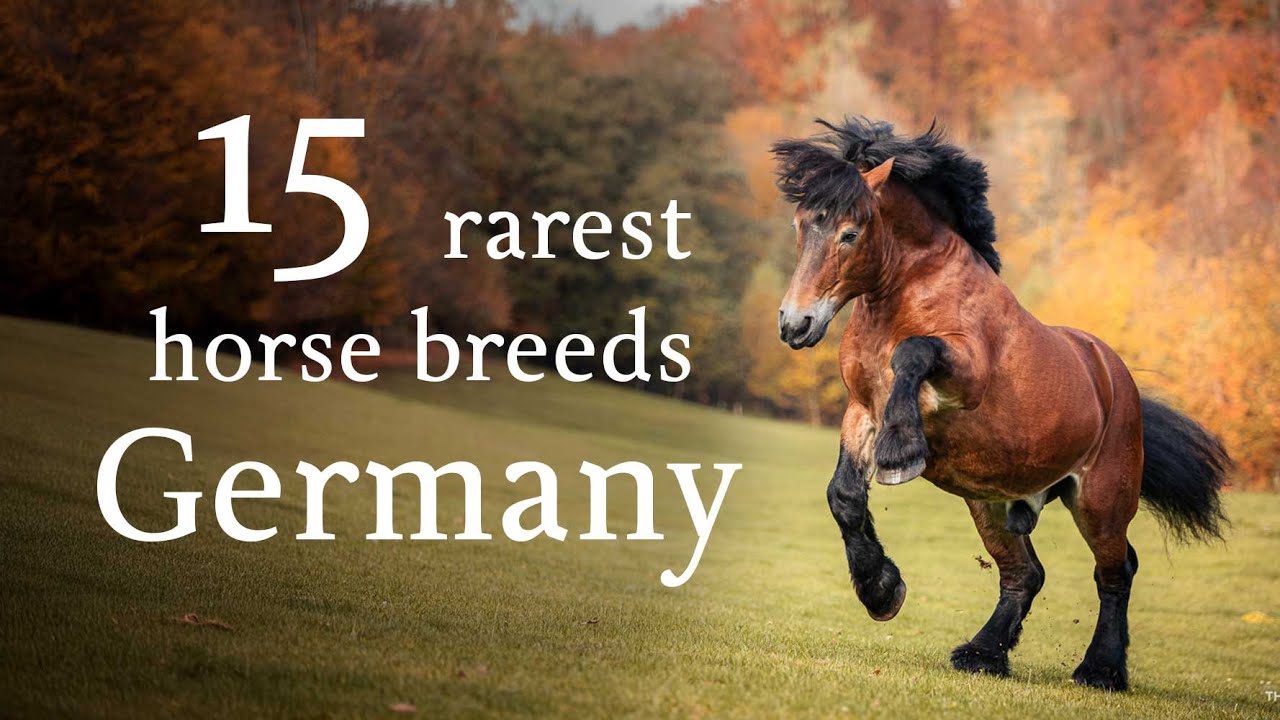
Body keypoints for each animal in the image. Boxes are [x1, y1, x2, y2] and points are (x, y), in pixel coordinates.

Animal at [771, 118, 1232, 691]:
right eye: (801, 225)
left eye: (849, 233)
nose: (796, 324)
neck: (909, 294)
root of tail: (1113, 376)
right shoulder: (862, 410)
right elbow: (844, 497)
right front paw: (881, 591)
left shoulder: (965, 375)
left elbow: (913, 352)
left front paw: (901, 452)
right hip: (988, 501)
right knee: (1025, 574)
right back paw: (983, 654)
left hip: (1101, 501)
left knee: (1115, 571)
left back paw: (1101, 669)